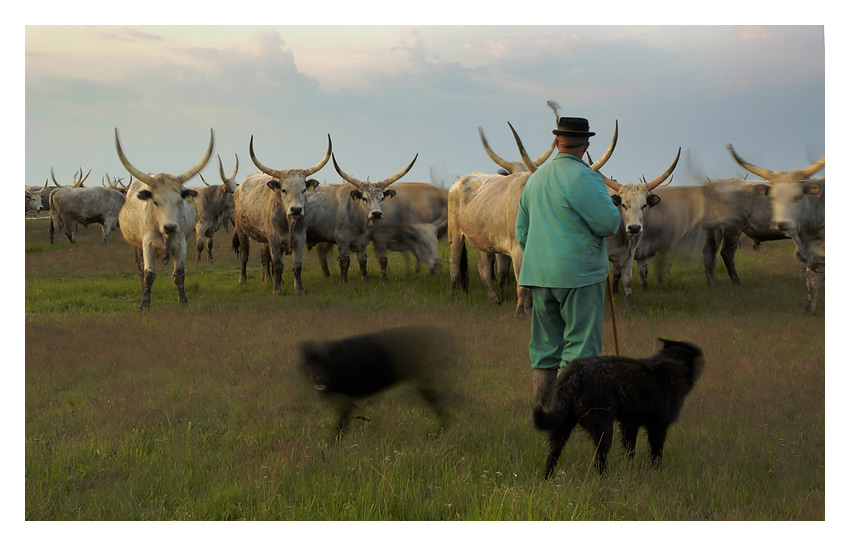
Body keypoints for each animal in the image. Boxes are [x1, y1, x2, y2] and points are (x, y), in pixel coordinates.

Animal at [298, 324, 458, 438]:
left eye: (326, 363)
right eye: (312, 364)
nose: (320, 379)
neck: (338, 366)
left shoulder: (347, 403)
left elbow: (340, 425)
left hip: (429, 386)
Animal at [528, 338, 704, 474]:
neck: (672, 363)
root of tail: (573, 375)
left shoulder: (629, 425)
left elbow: (629, 450)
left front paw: (629, 469)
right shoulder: (658, 427)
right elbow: (656, 454)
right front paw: (656, 472)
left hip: (562, 426)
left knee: (552, 456)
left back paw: (548, 478)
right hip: (603, 428)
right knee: (600, 459)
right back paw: (605, 478)